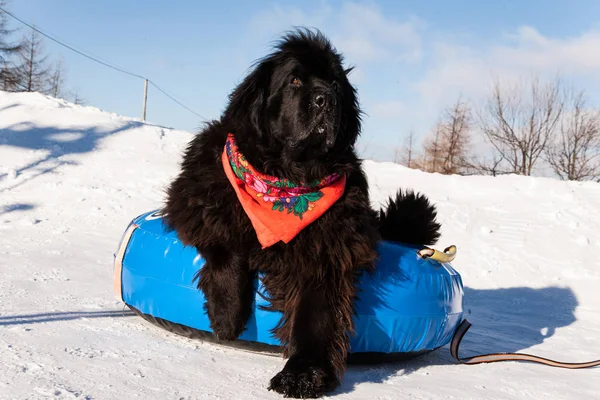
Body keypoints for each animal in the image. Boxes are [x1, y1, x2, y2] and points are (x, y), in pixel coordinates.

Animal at [163, 29, 440, 398]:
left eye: (336, 84)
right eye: (294, 80)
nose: (327, 99)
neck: (289, 179)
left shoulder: (327, 250)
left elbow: (315, 311)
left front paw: (304, 373)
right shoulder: (194, 199)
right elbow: (225, 243)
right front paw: (226, 314)